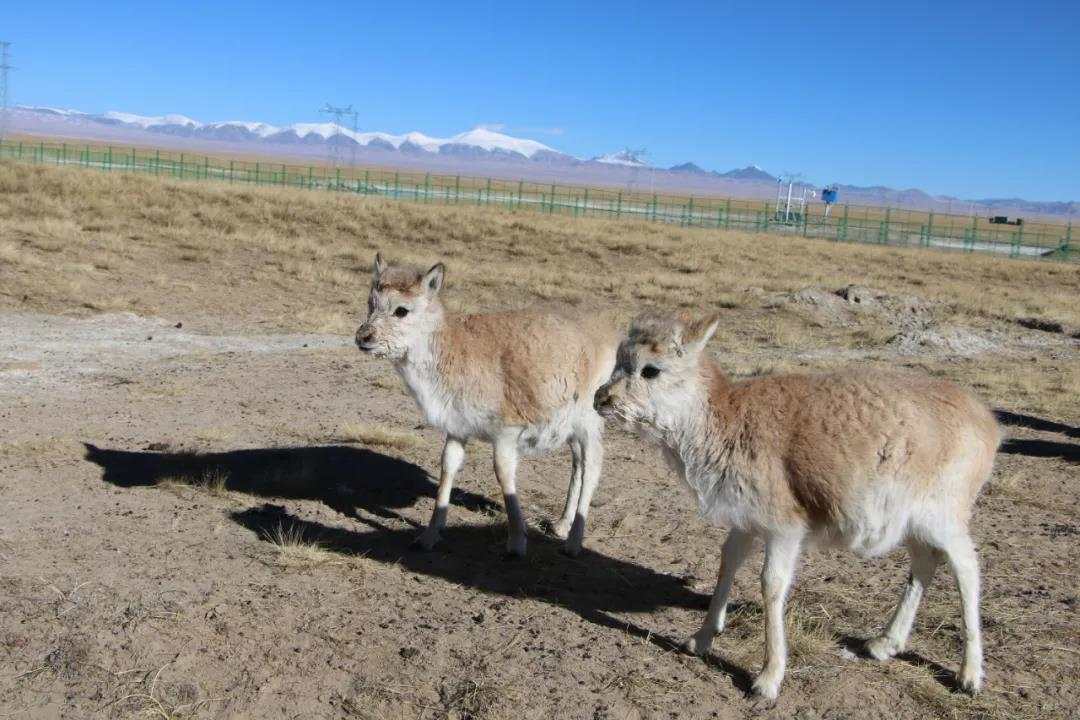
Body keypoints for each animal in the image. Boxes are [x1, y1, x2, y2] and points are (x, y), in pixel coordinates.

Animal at [356, 253, 617, 557]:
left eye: (401, 310)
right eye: (370, 304)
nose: (362, 337)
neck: (452, 349)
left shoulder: (506, 433)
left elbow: (503, 475)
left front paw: (516, 543)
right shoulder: (457, 429)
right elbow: (448, 467)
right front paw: (429, 536)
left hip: (589, 420)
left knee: (592, 465)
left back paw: (573, 543)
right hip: (569, 425)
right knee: (577, 463)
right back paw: (561, 525)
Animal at [596, 310, 997, 699]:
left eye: (650, 369)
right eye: (618, 360)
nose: (600, 399)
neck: (728, 418)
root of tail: (989, 423)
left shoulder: (785, 529)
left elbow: (771, 585)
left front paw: (768, 678)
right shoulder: (746, 522)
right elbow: (727, 563)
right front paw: (700, 639)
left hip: (943, 518)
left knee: (967, 566)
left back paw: (969, 675)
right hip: (911, 523)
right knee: (925, 563)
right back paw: (884, 644)